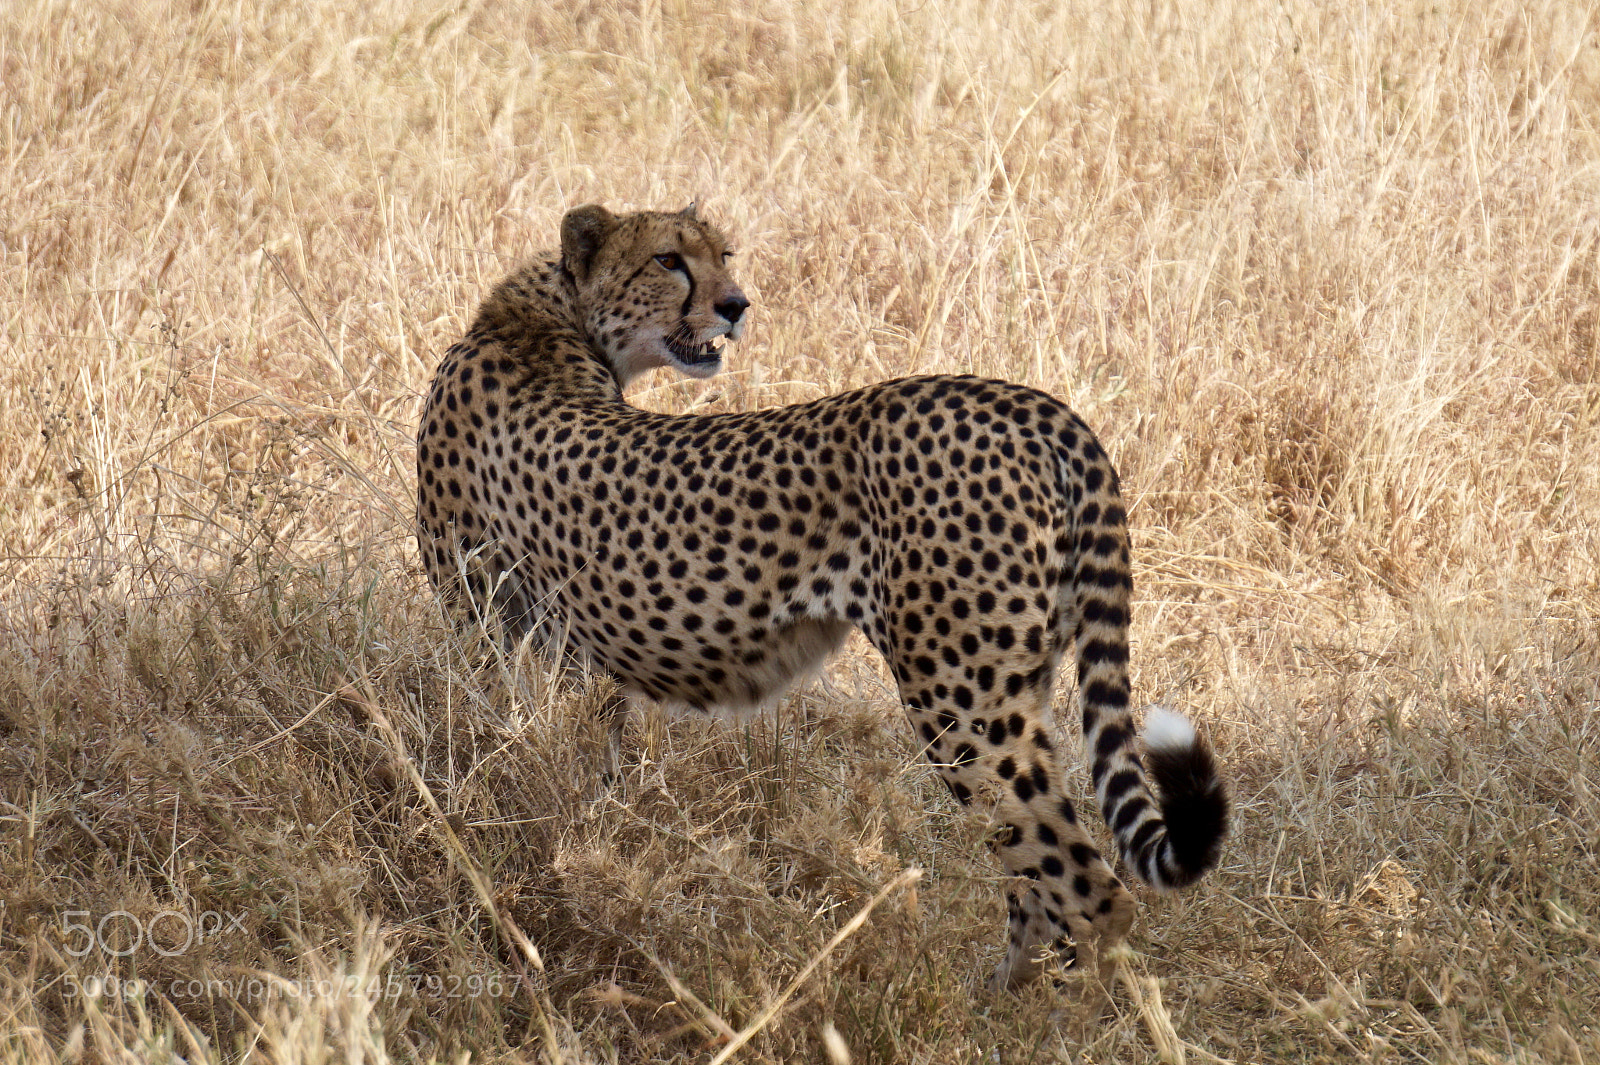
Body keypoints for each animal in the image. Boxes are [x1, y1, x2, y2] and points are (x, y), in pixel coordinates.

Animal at [415, 203, 1229, 996]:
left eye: (721, 256)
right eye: (669, 259)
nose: (736, 305)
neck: (546, 320)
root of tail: (1032, 404)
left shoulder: (493, 633)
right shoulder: (575, 661)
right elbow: (589, 777)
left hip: (960, 693)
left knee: (1092, 890)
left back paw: (1049, 1017)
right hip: (1020, 679)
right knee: (1033, 874)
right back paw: (998, 997)